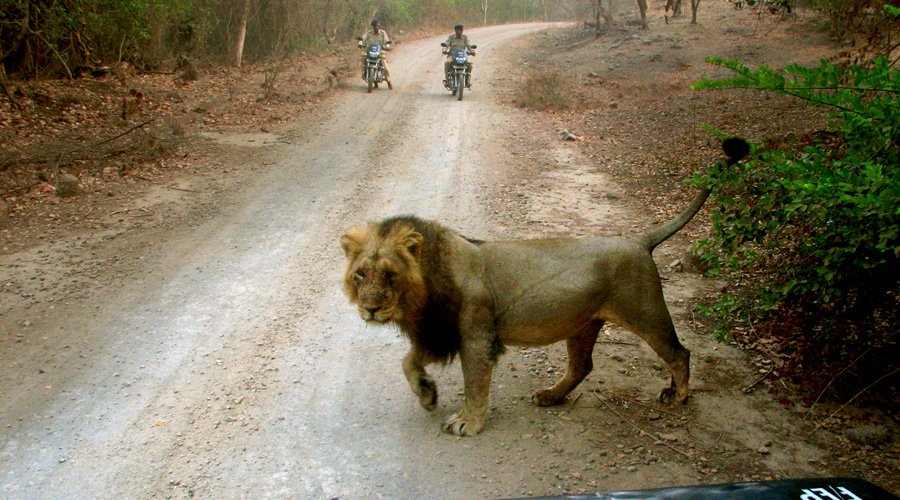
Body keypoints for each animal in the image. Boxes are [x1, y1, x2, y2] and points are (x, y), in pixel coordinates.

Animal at [342, 139, 748, 436]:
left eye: (389, 274)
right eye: (361, 274)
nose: (370, 309)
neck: (422, 293)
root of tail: (638, 241)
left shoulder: (476, 337)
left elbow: (475, 384)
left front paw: (468, 422)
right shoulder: (439, 333)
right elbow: (407, 362)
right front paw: (427, 394)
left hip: (646, 313)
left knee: (680, 353)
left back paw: (678, 396)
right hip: (584, 323)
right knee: (583, 366)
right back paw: (551, 396)